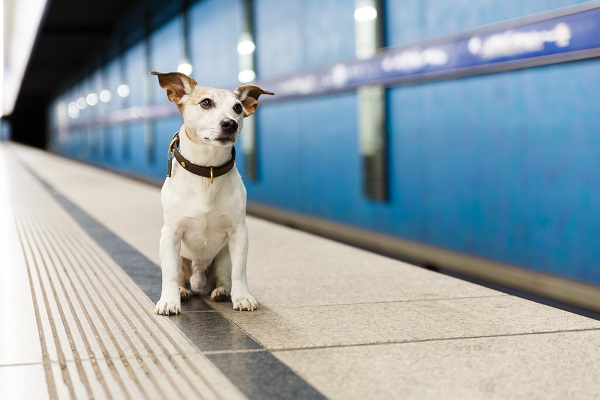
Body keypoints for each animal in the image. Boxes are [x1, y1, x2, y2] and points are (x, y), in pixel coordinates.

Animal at [151, 71, 274, 316]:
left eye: (237, 107)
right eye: (206, 102)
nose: (230, 124)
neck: (207, 170)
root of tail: (199, 284)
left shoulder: (239, 232)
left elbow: (240, 271)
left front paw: (242, 297)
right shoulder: (170, 233)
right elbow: (169, 274)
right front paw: (168, 300)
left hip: (223, 256)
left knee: (225, 276)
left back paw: (222, 292)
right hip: (181, 258)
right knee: (179, 277)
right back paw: (181, 291)